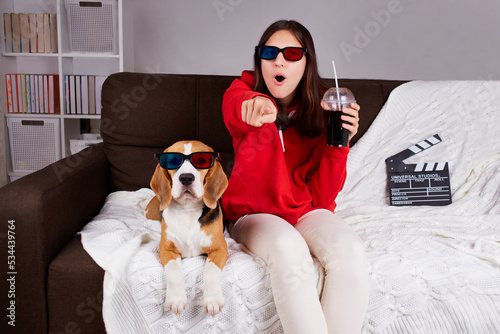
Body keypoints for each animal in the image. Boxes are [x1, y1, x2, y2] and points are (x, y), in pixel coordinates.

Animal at [145, 140, 229, 316]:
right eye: (172, 161)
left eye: (201, 160)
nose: (186, 178)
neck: (188, 210)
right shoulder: (166, 249)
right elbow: (173, 269)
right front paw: (176, 298)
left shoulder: (220, 248)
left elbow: (211, 269)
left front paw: (212, 299)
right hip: (150, 212)